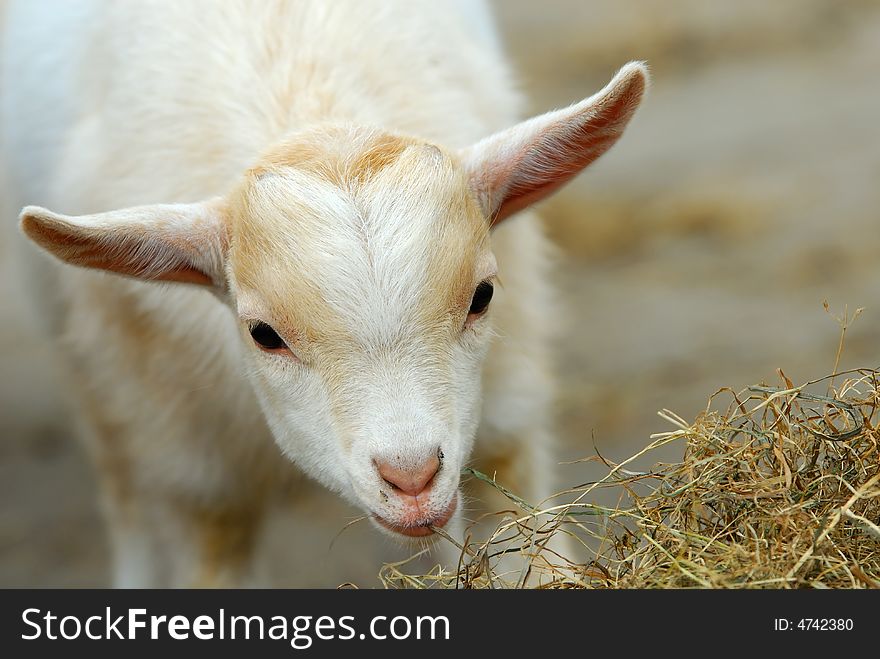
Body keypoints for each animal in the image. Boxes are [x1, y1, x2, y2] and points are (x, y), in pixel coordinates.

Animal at [0, 0, 648, 588]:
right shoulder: (196, 467)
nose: (411, 480)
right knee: (122, 492)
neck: (294, 78)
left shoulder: (507, 406)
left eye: (482, 295)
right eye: (264, 334)